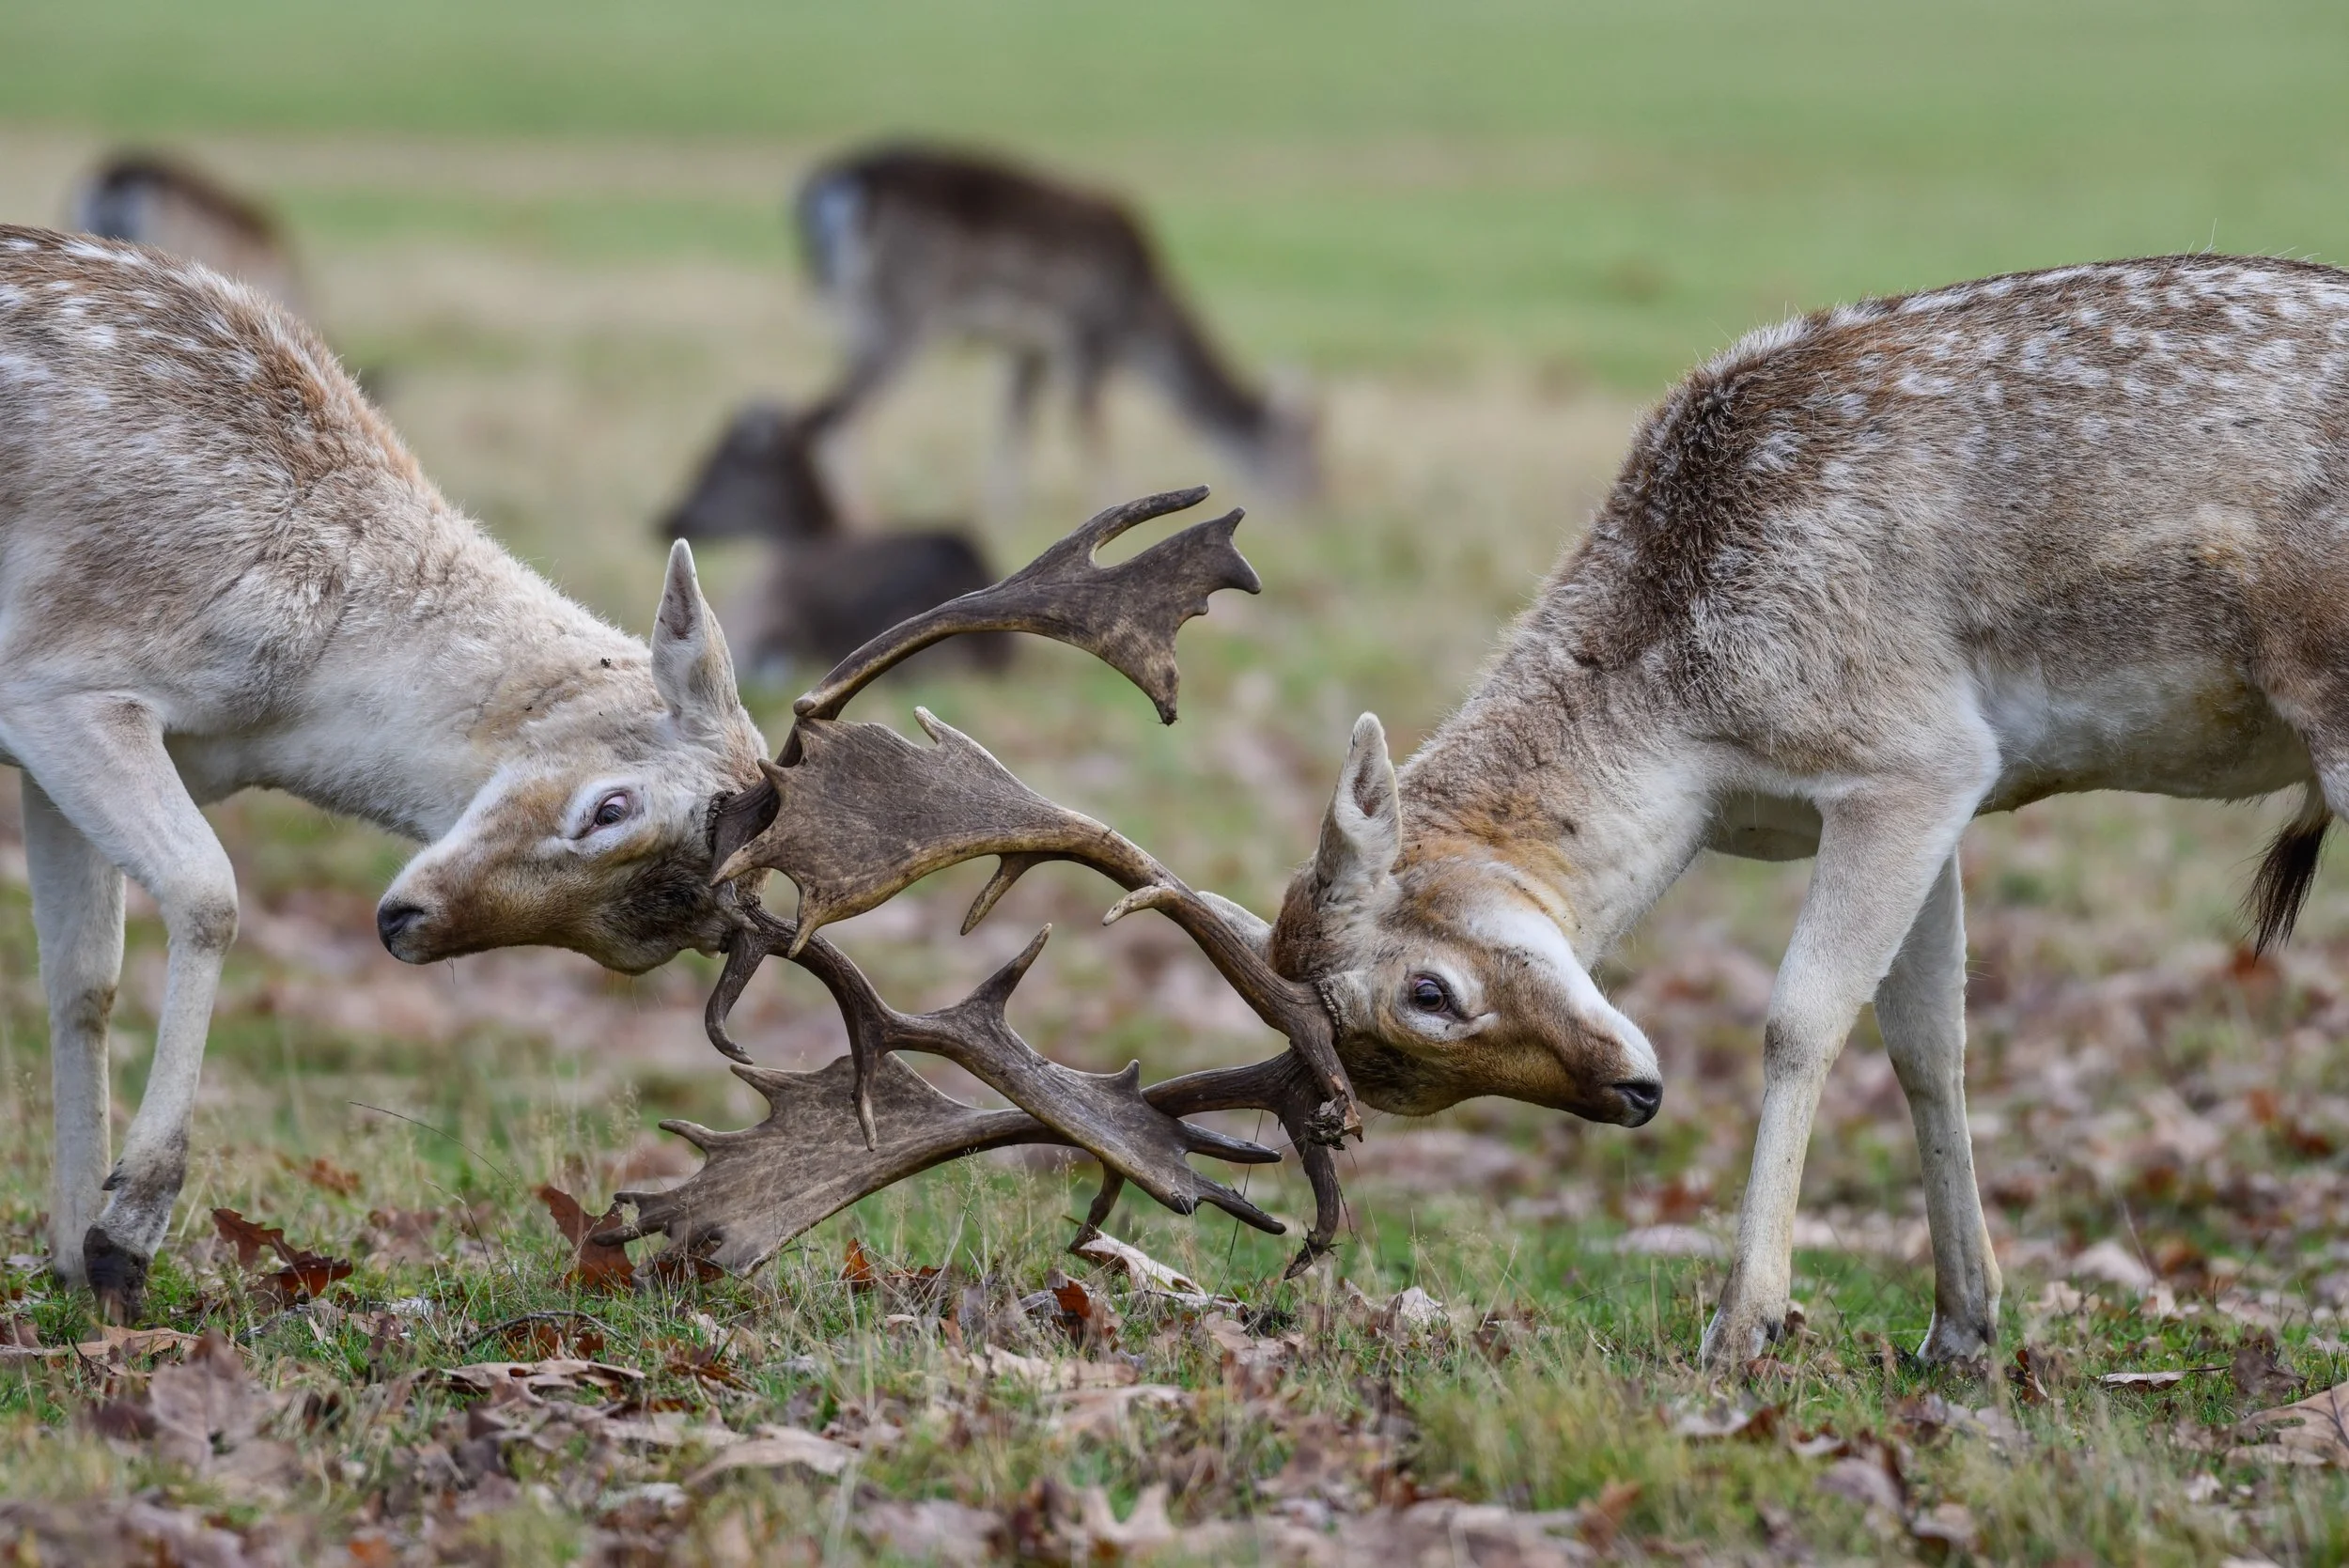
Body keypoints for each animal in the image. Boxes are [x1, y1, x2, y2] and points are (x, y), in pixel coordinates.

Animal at [0, 225, 767, 1317]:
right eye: (611, 806)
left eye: (644, 946)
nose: (409, 921)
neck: (274, 707)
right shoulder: (58, 678)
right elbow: (209, 893)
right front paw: (124, 1236)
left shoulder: (48, 744)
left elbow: (81, 978)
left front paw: (74, 1257)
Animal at [794, 143, 1319, 516]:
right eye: (1307, 453)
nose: (1318, 510)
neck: (1139, 319)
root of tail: (836, 190)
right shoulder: (1088, 337)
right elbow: (1091, 431)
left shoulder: (1029, 349)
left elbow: (1017, 425)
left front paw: (1002, 516)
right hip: (902, 312)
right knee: (834, 420)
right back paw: (862, 521)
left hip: (849, 316)